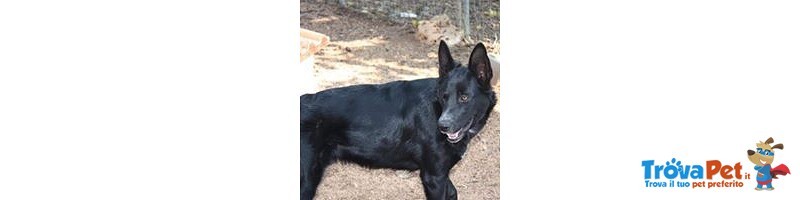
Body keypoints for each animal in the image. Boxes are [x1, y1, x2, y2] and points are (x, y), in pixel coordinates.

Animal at [300, 41, 494, 199]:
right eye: (444, 97)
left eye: (464, 97)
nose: (442, 127)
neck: (436, 109)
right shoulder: (433, 177)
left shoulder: (440, 174)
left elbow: (453, 192)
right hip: (306, 180)